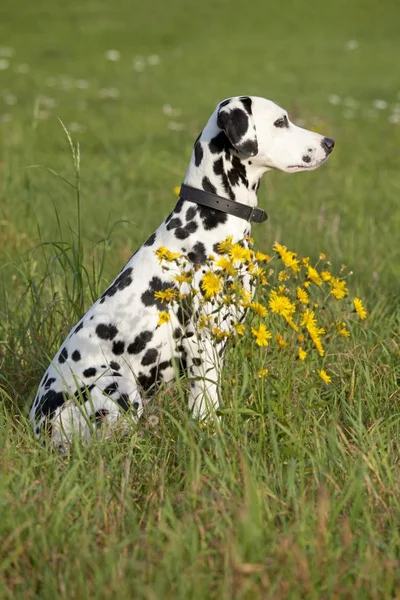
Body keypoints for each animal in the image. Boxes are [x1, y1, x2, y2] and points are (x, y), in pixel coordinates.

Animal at [28, 96, 334, 448]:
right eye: (281, 121)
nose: (330, 143)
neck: (212, 215)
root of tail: (39, 424)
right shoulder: (200, 340)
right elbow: (206, 404)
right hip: (120, 387)